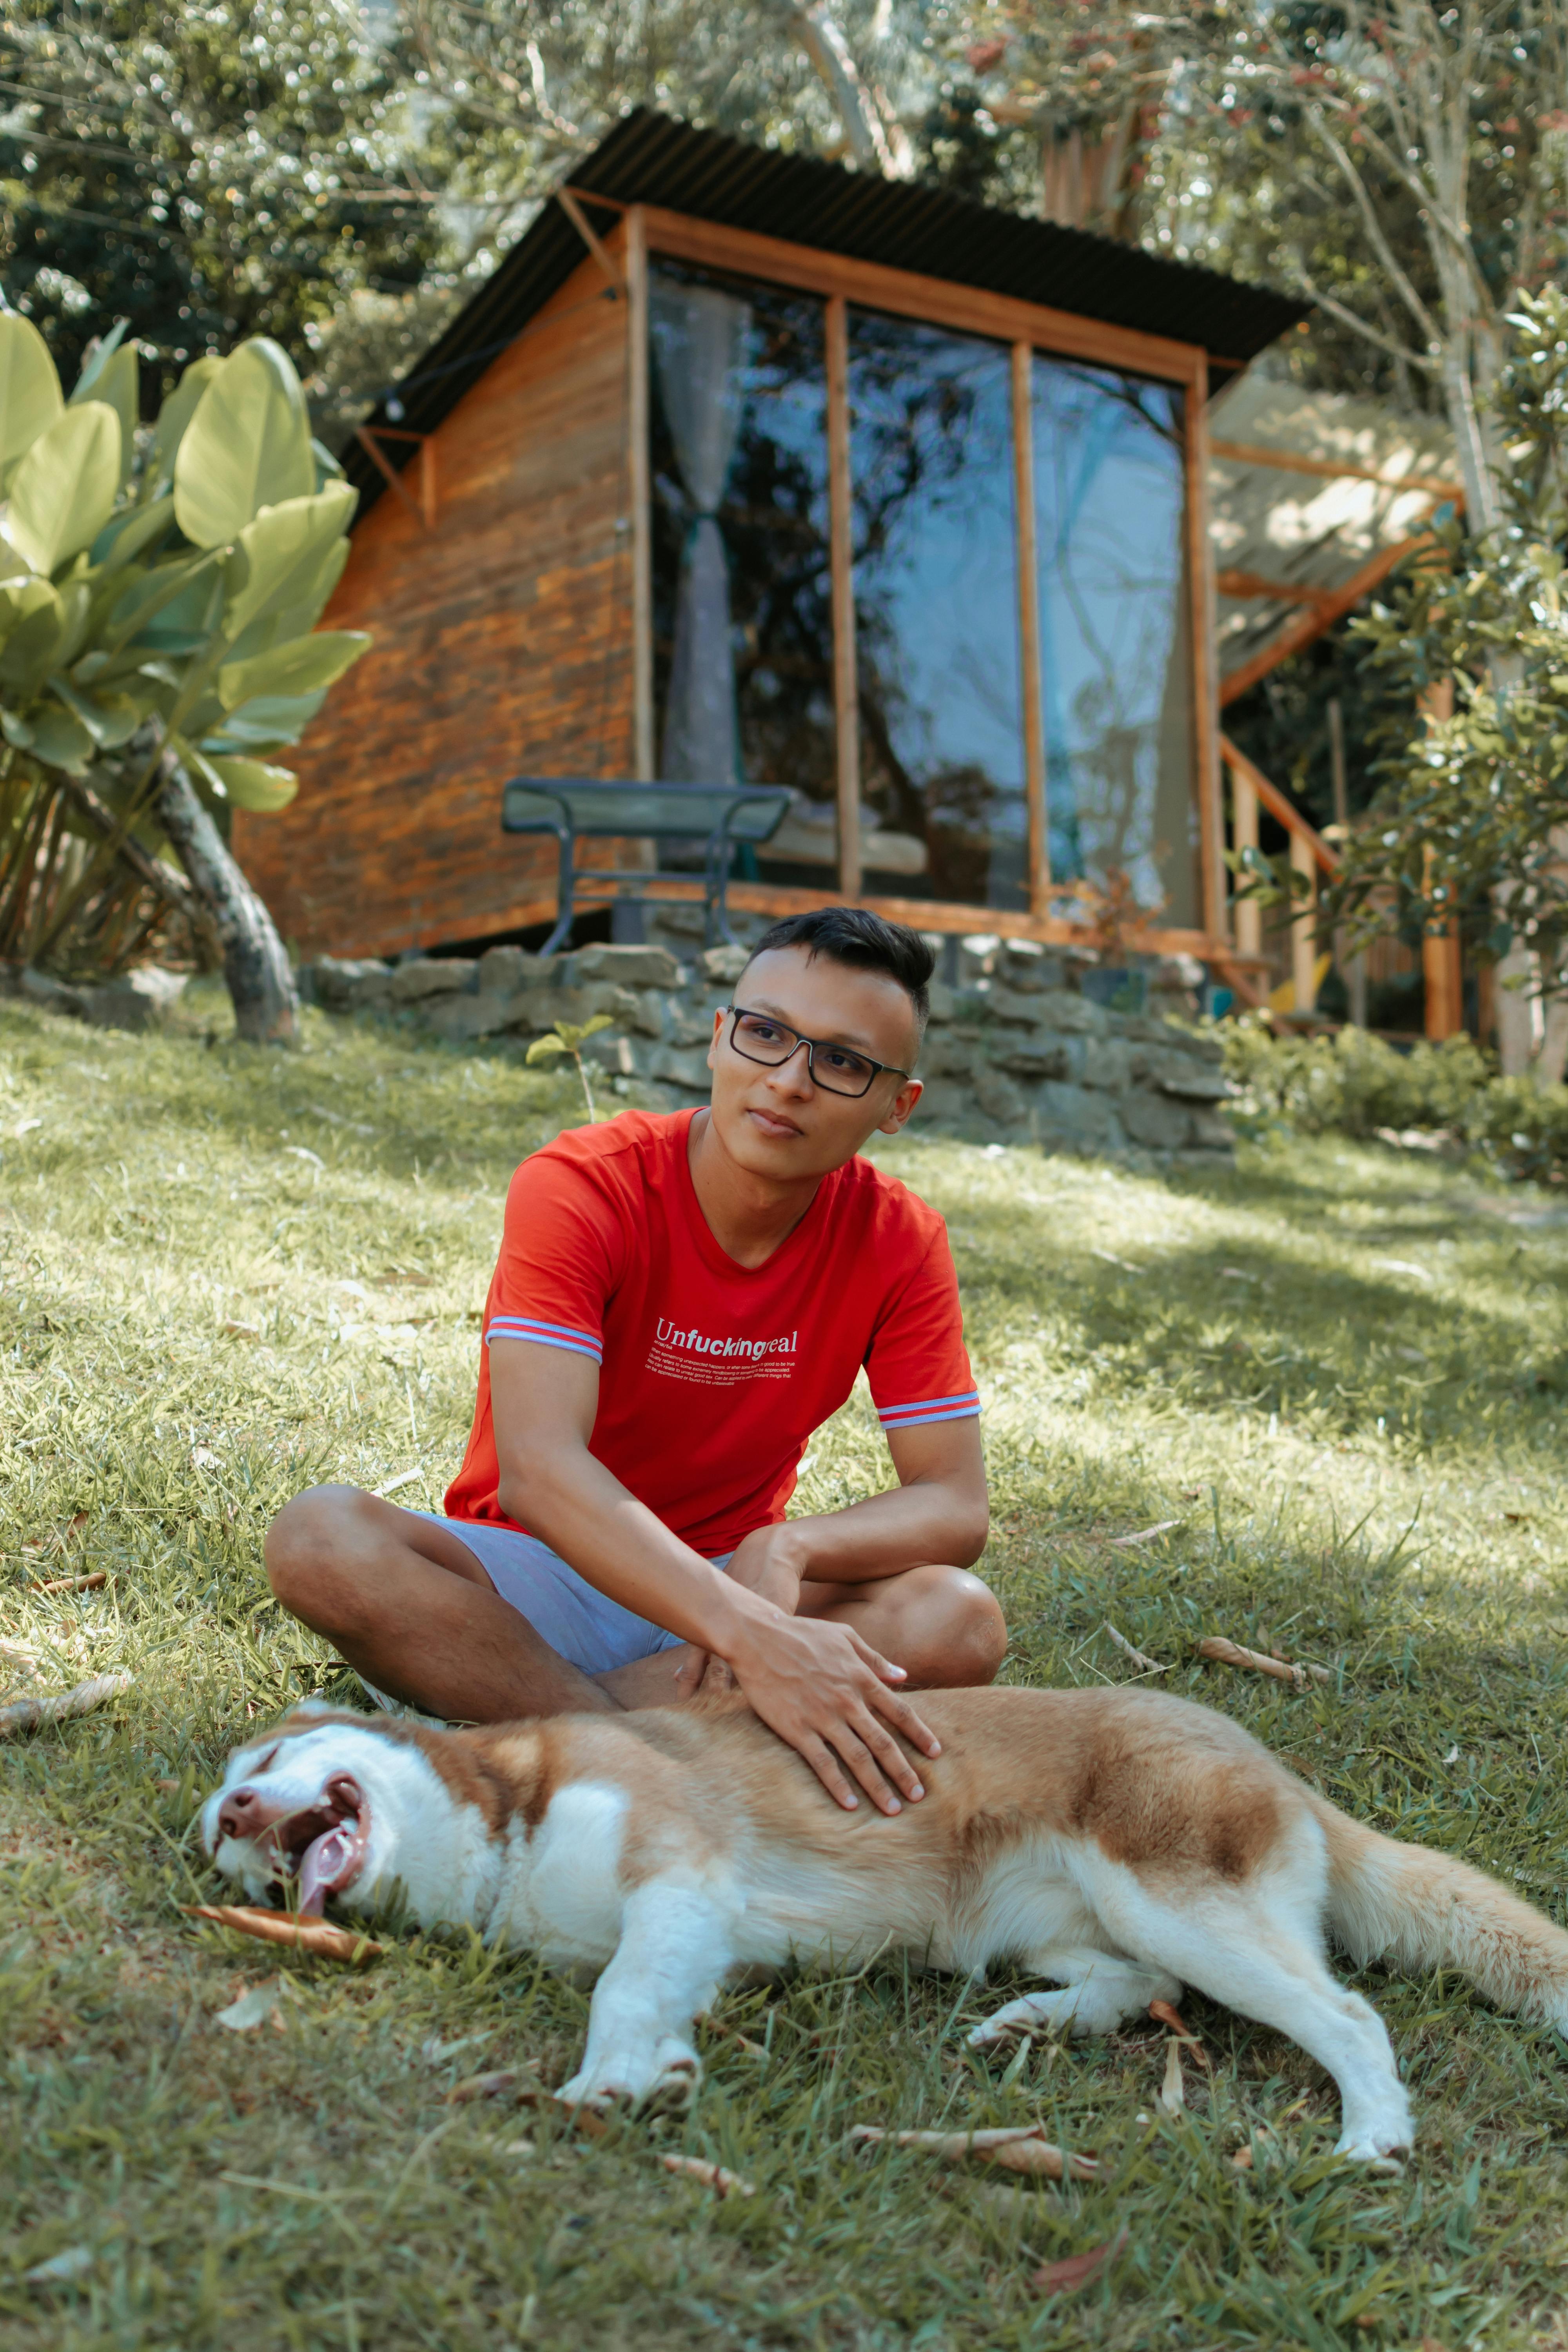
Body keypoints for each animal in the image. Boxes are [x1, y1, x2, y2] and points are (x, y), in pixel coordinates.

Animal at [200, 1684, 1568, 2154]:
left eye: (260, 1760)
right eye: (224, 1848)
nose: (240, 1818)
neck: (506, 1824)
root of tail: (1268, 1756)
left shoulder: (677, 1871)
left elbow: (623, 1988)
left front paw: (609, 2078)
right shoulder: (692, 1928)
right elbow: (650, 1992)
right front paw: (654, 2070)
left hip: (1182, 1902)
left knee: (1347, 2014)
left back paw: (1373, 2136)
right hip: (1059, 1924)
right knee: (1139, 1986)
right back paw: (1035, 2024)